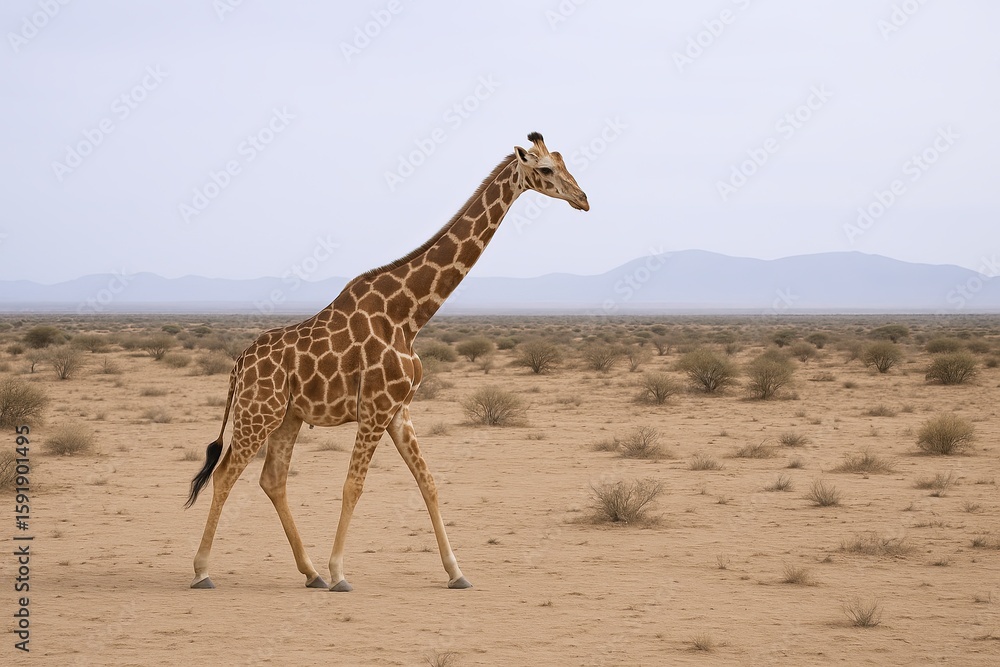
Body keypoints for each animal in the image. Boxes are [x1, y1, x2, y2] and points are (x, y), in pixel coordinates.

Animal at [186, 132, 589, 591]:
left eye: (564, 162)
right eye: (546, 169)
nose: (583, 199)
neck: (408, 316)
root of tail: (238, 365)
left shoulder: (400, 409)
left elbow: (428, 482)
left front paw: (456, 572)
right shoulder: (375, 408)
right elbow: (353, 486)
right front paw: (340, 572)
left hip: (287, 415)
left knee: (272, 479)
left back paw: (309, 572)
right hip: (259, 412)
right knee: (225, 475)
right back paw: (203, 571)